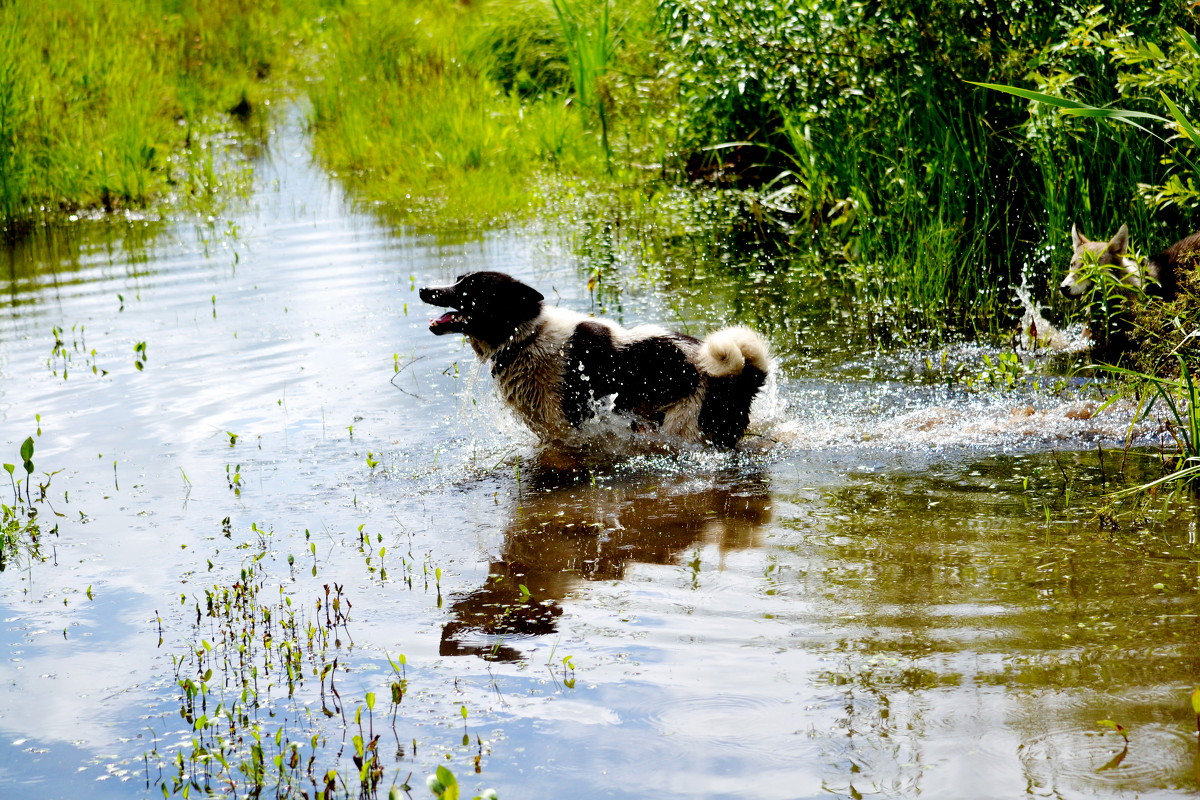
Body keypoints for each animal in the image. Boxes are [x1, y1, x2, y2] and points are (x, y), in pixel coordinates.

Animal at [420, 272, 768, 448]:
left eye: (470, 288)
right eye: (457, 280)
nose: (423, 288)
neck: (527, 337)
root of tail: (743, 376)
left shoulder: (569, 425)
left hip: (685, 425)